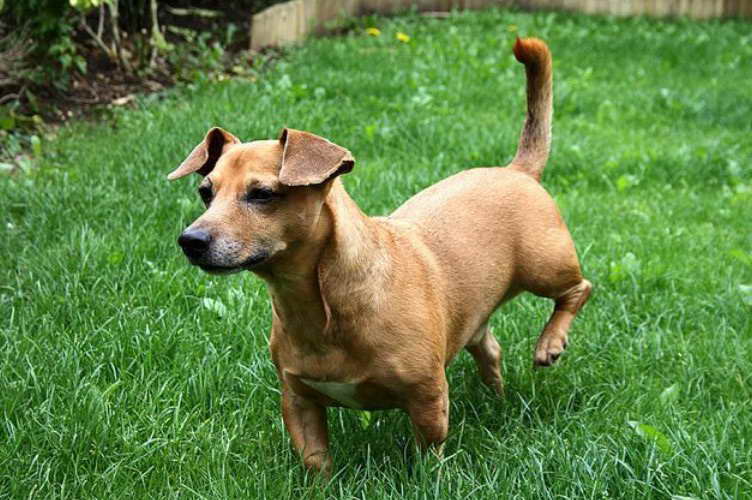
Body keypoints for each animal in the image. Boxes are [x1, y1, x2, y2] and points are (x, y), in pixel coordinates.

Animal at [167, 37, 592, 474]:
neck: (319, 307)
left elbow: (429, 453)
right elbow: (317, 461)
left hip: (547, 266)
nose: (190, 240)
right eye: (205, 192)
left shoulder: (427, 397)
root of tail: (517, 170)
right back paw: (497, 397)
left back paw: (550, 342)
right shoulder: (298, 400)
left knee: (578, 289)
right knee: (489, 348)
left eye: (262, 194)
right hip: (475, 313)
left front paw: (428, 478)